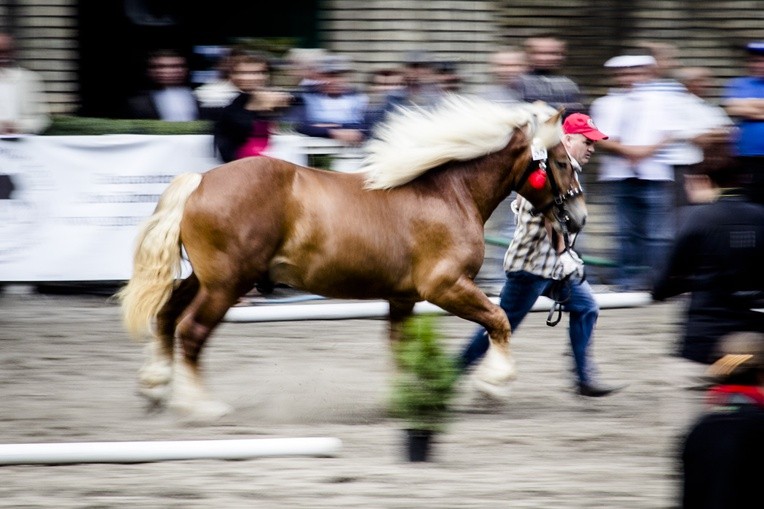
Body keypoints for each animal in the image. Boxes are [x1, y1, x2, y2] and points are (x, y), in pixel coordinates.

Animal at [118, 96, 584, 420]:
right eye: (562, 162)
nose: (578, 217)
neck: (449, 193)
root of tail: (198, 181)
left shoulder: (402, 298)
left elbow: (400, 348)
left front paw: (406, 400)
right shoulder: (446, 286)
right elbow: (499, 321)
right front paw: (494, 385)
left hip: (206, 279)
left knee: (166, 317)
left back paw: (155, 388)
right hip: (226, 285)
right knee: (191, 331)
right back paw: (200, 406)